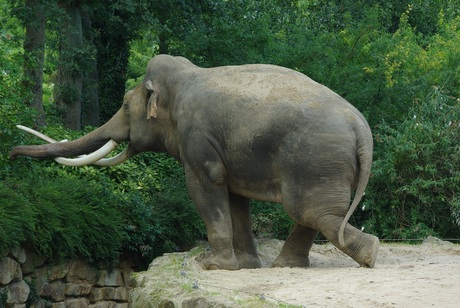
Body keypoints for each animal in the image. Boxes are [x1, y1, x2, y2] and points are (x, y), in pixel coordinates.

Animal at [9, 54, 378, 270]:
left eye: (126, 106)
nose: (10, 153)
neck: (185, 75)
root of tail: (361, 127)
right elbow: (235, 197)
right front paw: (245, 266)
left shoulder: (197, 137)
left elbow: (206, 184)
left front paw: (212, 265)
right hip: (322, 164)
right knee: (313, 214)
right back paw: (286, 266)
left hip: (314, 161)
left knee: (311, 212)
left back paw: (370, 254)